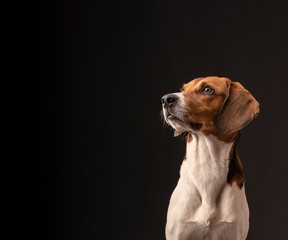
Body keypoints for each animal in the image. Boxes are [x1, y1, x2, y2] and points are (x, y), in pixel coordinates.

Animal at [162, 77, 258, 240]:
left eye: (207, 89)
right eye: (182, 89)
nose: (165, 99)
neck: (207, 164)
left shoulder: (234, 233)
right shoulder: (178, 231)